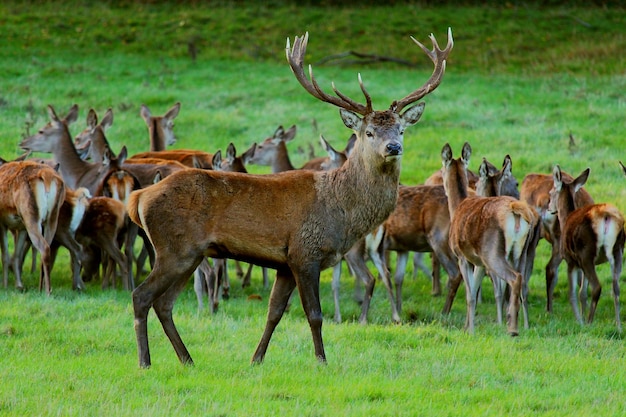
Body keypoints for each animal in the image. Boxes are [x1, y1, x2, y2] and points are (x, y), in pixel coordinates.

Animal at [127, 30, 450, 368]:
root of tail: (138, 197)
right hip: (174, 248)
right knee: (141, 296)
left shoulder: (284, 263)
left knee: (164, 303)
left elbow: (274, 312)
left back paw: (187, 359)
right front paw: (322, 361)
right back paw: (145, 361)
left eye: (401, 130)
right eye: (369, 132)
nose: (393, 148)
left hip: (190, 254)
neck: (341, 212)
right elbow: (315, 314)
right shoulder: (305, 253)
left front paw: (256, 359)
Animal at [438, 143, 536, 334]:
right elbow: (475, 291)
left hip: (493, 252)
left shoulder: (462, 257)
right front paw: (467, 326)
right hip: (520, 252)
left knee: (514, 279)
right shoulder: (480, 263)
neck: (457, 207)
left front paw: (469, 330)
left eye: (442, 169)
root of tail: (515, 210)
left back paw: (512, 329)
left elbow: (470, 294)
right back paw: (524, 326)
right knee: (524, 284)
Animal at [544, 164, 620, 330]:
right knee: (615, 288)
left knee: (597, 287)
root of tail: (606, 218)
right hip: (617, 251)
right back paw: (618, 326)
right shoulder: (580, 264)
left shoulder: (571, 260)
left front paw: (579, 320)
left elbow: (573, 293)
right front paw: (582, 317)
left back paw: (590, 322)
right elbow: (582, 293)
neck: (566, 218)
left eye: (551, 192)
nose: (548, 207)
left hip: (587, 252)